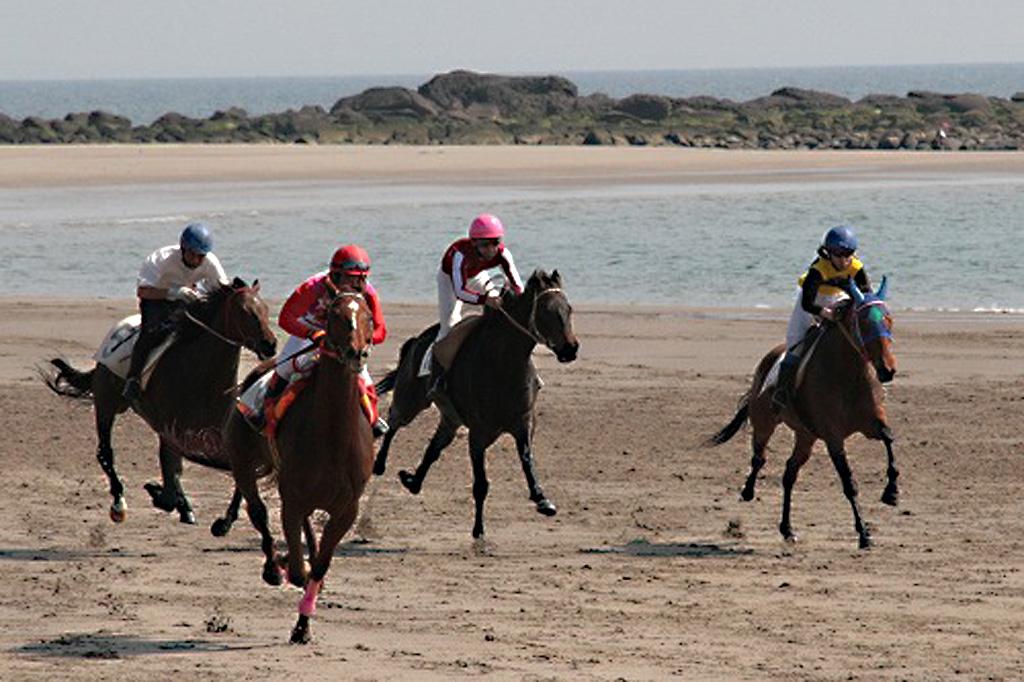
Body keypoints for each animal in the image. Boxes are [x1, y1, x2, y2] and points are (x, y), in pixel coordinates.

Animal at [44, 276, 276, 524]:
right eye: (244, 311)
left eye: (265, 308)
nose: (270, 344)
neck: (200, 376)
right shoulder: (169, 427)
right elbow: (170, 471)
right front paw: (159, 494)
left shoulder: (217, 431)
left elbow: (236, 468)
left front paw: (224, 520)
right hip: (107, 404)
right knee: (105, 452)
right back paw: (119, 503)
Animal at [224, 284, 380, 643]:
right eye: (334, 315)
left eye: (368, 315)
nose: (356, 353)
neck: (333, 437)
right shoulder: (292, 500)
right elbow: (297, 568)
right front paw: (288, 565)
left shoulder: (346, 509)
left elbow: (320, 566)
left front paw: (303, 626)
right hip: (242, 460)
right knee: (258, 512)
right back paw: (273, 566)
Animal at [370, 268, 581, 540]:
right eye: (545, 311)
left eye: (569, 309)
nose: (570, 349)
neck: (505, 364)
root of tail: (418, 340)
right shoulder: (479, 434)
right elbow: (480, 484)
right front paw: (478, 528)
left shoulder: (524, 422)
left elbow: (527, 458)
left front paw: (542, 499)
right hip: (411, 400)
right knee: (394, 421)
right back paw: (379, 462)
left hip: (450, 418)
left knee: (434, 447)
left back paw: (413, 481)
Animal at [712, 276, 897, 548]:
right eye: (863, 322)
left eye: (888, 319)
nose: (887, 370)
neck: (848, 375)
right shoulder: (833, 437)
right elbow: (848, 483)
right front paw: (864, 532)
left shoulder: (871, 423)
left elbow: (889, 438)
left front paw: (892, 491)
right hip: (764, 421)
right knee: (759, 457)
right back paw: (748, 491)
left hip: (806, 436)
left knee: (789, 472)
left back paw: (787, 529)